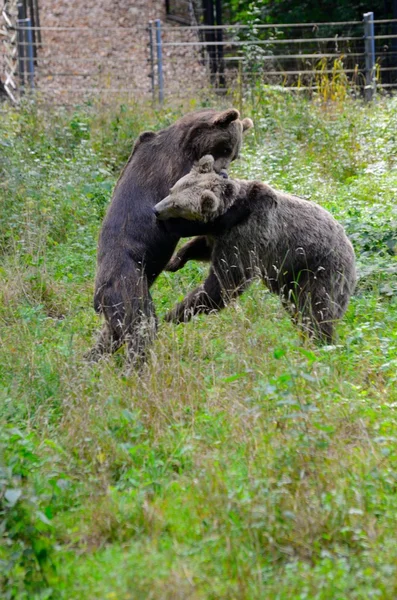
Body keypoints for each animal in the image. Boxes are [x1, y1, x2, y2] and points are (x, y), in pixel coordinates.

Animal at [89, 108, 252, 360]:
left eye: (234, 154)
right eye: (225, 148)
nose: (224, 173)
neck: (190, 144)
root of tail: (98, 295)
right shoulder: (175, 173)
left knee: (110, 334)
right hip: (128, 280)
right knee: (140, 324)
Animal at [152, 155, 356, 342]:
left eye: (177, 205)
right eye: (172, 190)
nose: (156, 210)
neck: (227, 217)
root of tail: (350, 248)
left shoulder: (246, 236)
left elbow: (225, 284)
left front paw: (174, 314)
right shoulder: (219, 235)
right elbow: (201, 248)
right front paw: (174, 261)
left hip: (320, 269)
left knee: (317, 309)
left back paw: (321, 341)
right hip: (291, 278)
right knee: (297, 307)